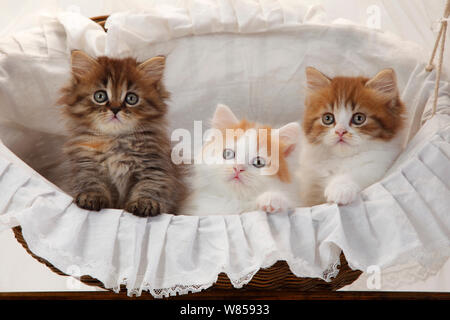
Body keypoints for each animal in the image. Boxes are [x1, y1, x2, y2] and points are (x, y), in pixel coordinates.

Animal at [58, 51, 185, 216]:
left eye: (131, 98)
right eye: (100, 96)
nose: (115, 109)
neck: (115, 141)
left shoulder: (154, 166)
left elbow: (150, 186)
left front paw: (144, 202)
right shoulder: (86, 164)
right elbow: (91, 182)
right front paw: (91, 197)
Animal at [298, 68, 408, 208]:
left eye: (359, 118)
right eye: (327, 118)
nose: (340, 131)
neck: (342, 159)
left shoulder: (379, 166)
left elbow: (359, 173)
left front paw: (340, 188)